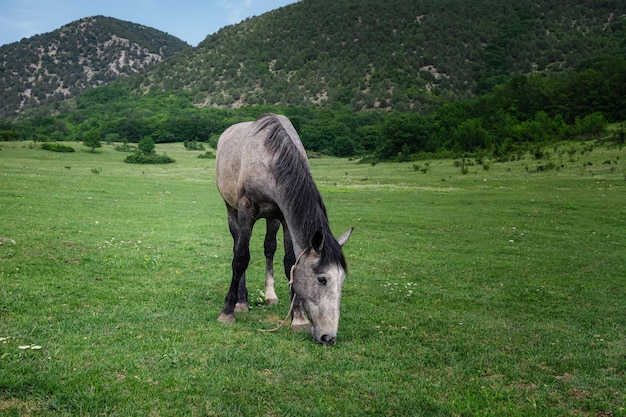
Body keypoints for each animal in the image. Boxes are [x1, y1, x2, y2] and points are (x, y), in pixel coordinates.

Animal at [214, 113, 352, 344]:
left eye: (342, 279)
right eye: (322, 279)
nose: (329, 337)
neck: (270, 159)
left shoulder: (285, 216)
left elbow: (290, 263)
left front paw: (298, 318)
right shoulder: (246, 208)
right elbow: (241, 258)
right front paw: (227, 312)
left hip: (272, 219)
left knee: (269, 248)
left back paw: (270, 295)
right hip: (231, 208)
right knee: (238, 245)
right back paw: (241, 301)